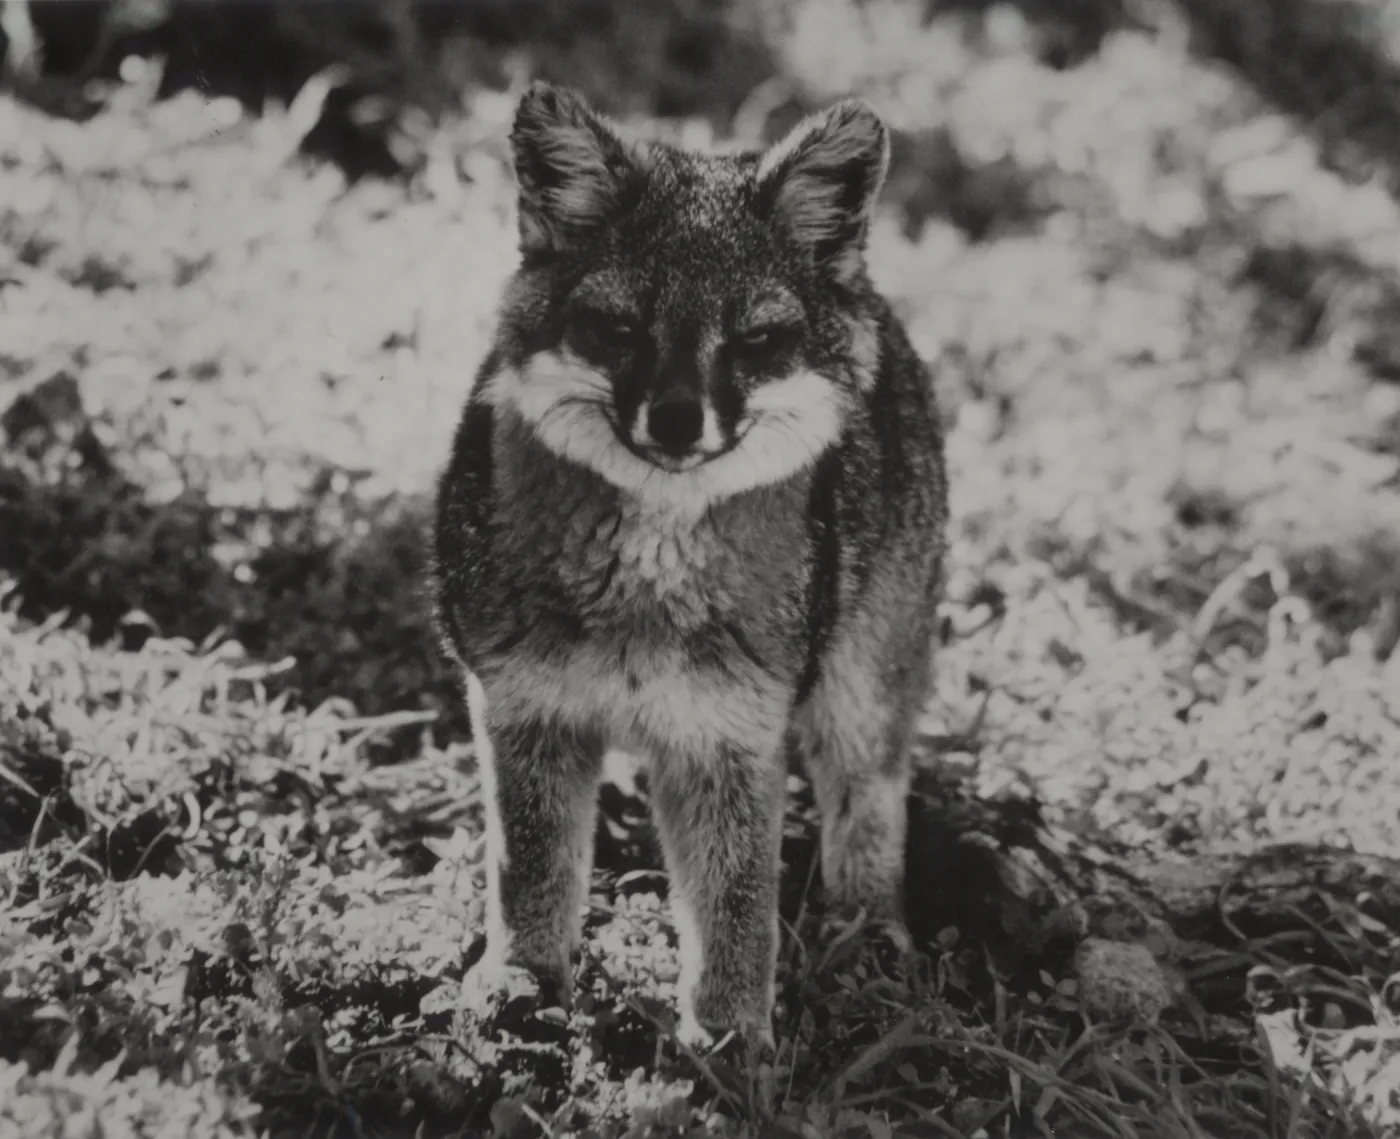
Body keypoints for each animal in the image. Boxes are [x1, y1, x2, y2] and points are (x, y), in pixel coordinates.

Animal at [433, 81, 947, 1048]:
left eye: (755, 341)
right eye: (619, 328)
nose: (677, 419)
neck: (644, 591)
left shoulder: (729, 737)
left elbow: (736, 903)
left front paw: (730, 1038)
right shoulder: (523, 705)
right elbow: (532, 868)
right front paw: (523, 978)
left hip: (859, 691)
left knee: (869, 806)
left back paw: (867, 933)